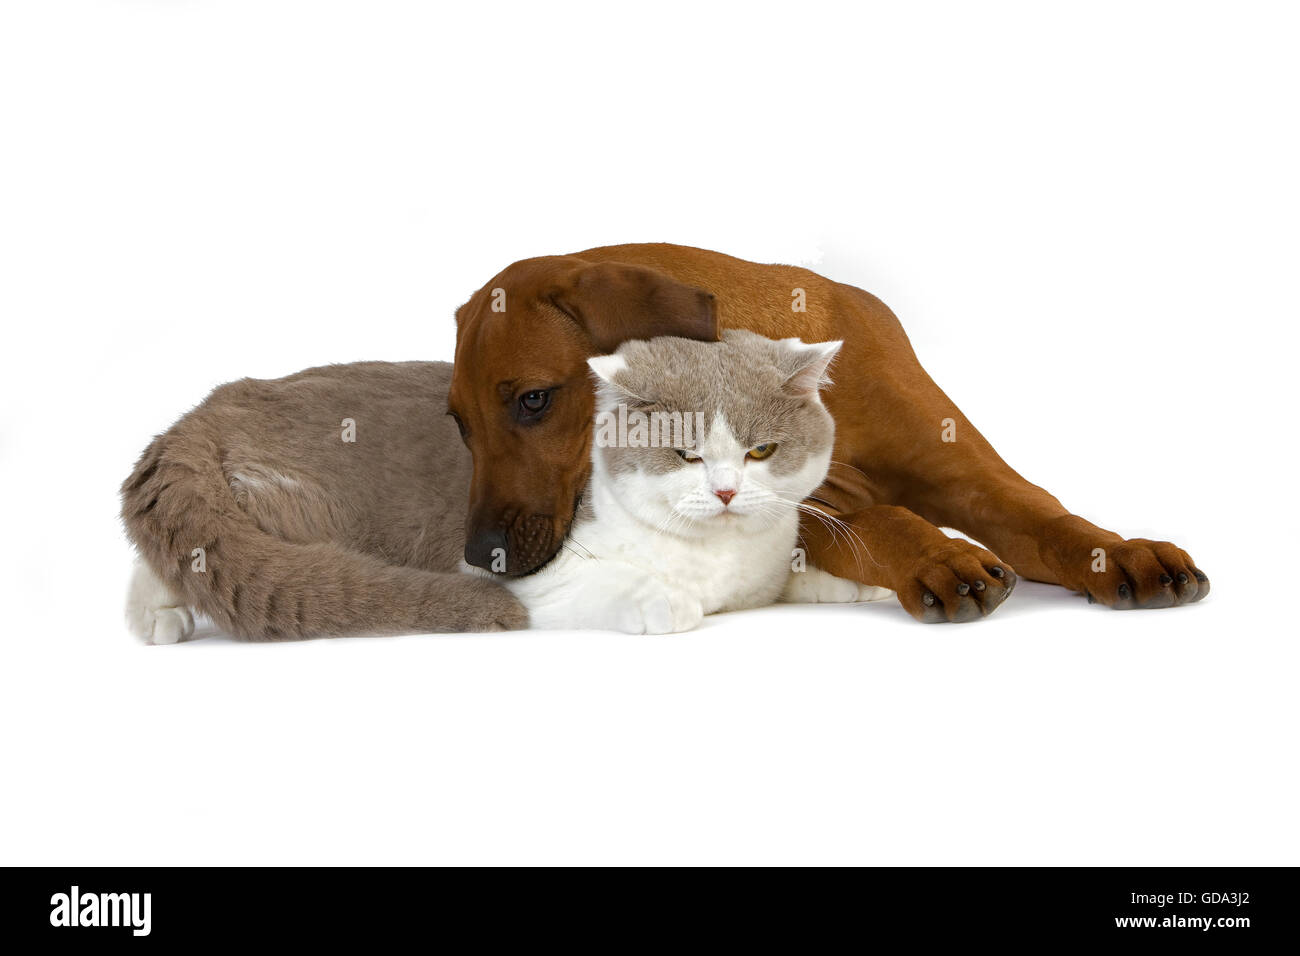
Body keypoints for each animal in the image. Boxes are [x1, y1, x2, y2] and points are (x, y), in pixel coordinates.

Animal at [499, 329, 894, 634]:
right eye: (687, 455)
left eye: (761, 450)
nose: (726, 491)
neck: (721, 554)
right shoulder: (537, 574)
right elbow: (593, 578)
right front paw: (661, 599)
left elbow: (783, 579)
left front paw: (846, 582)